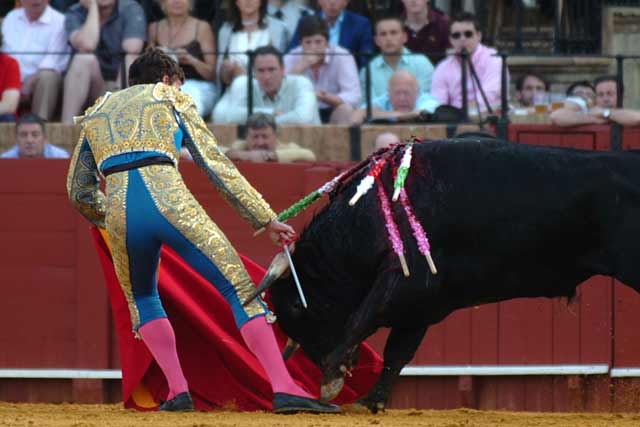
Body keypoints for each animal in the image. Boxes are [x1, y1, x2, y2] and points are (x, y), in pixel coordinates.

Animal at [264, 140, 640, 412]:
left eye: (295, 307)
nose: (333, 369)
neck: (369, 217)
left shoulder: (407, 280)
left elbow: (362, 318)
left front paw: (331, 379)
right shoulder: (423, 305)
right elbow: (397, 352)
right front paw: (371, 401)